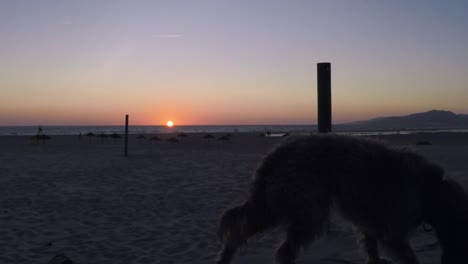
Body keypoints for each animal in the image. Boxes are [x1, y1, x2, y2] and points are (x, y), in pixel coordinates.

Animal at [218, 135, 468, 264]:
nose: (452, 260)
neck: (431, 188)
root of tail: (274, 156)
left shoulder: (371, 224)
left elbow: (371, 248)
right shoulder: (393, 232)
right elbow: (408, 256)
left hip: (272, 206)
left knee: (239, 231)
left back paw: (226, 255)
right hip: (309, 212)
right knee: (284, 251)